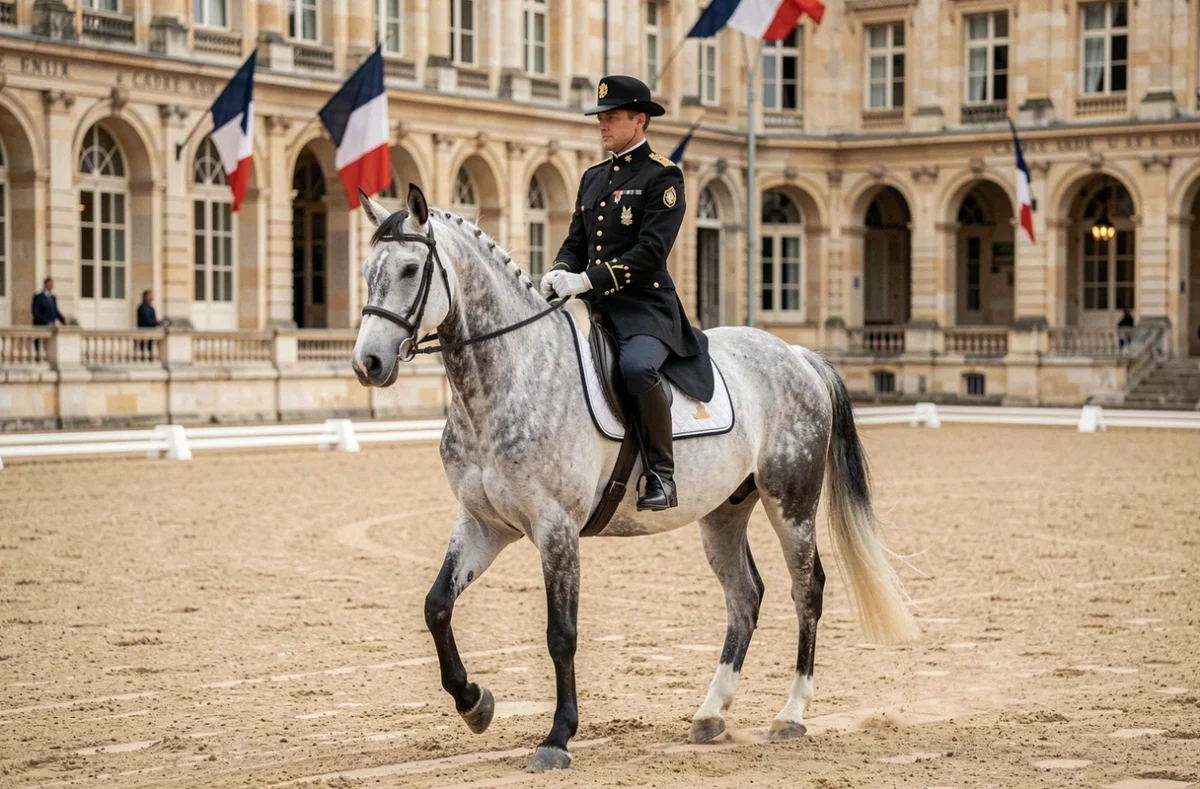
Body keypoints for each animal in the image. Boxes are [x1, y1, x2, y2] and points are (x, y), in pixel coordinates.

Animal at [350, 184, 918, 773]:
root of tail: (797, 354)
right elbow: (437, 606)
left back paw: (791, 714)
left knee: (807, 591)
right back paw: (710, 713)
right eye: (368, 270)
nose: (368, 363)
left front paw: (557, 737)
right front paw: (474, 703)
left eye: (411, 269)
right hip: (724, 509)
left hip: (792, 500)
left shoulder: (556, 528)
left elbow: (561, 634)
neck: (510, 377)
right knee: (745, 595)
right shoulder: (484, 523)